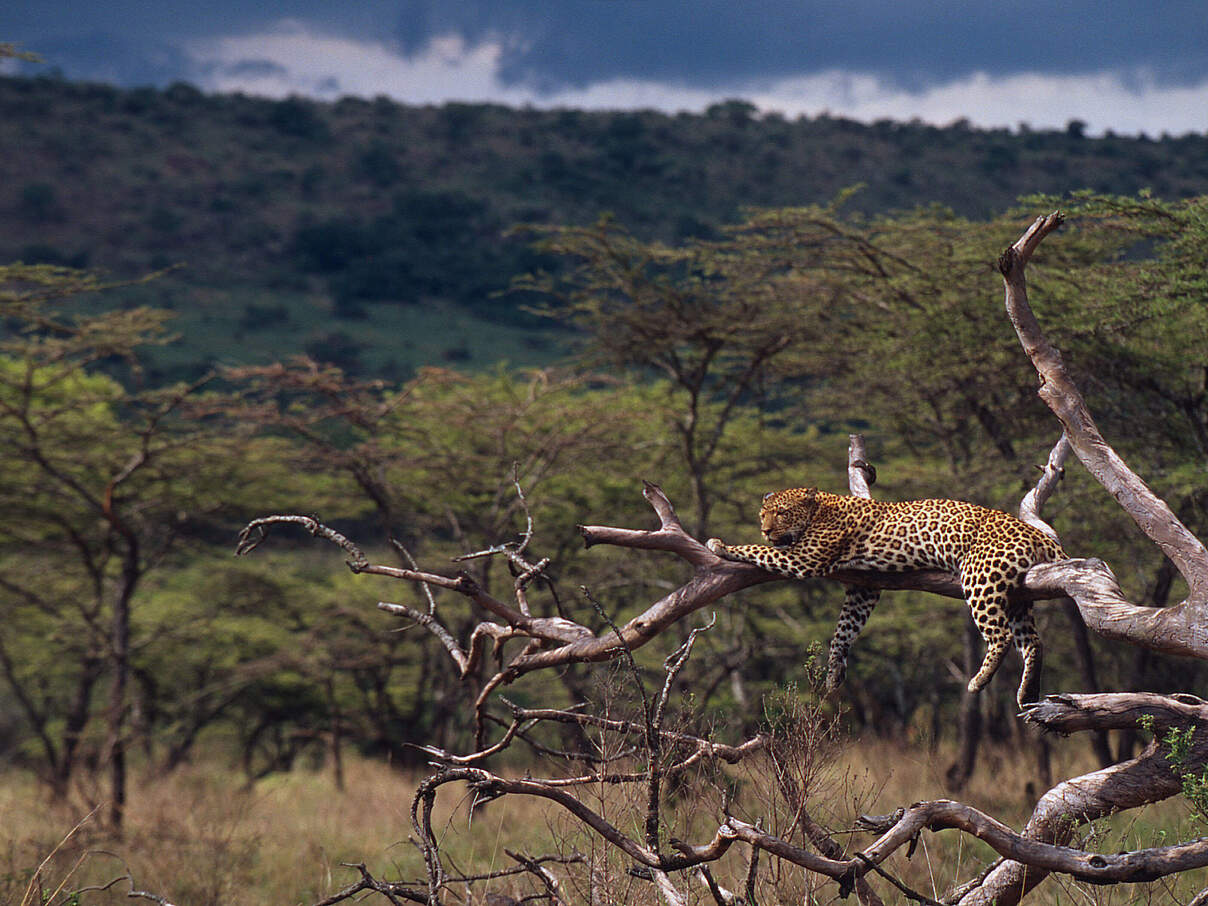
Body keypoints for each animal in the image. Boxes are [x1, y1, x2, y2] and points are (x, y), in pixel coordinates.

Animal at [707, 487, 1065, 708]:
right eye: (762, 513)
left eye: (781, 513)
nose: (765, 529)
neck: (820, 509)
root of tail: (1040, 536)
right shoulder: (863, 590)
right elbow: (842, 632)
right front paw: (834, 673)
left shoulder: (804, 559)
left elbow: (758, 551)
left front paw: (721, 545)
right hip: (1018, 595)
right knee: (1033, 642)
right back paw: (1028, 692)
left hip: (981, 578)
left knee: (1001, 636)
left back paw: (979, 681)